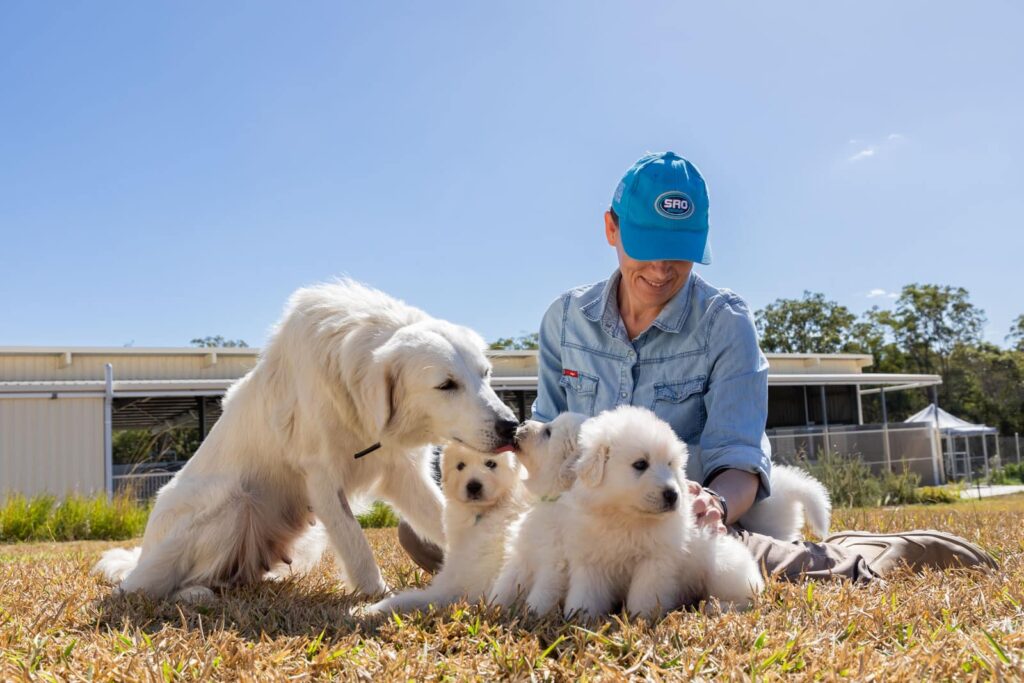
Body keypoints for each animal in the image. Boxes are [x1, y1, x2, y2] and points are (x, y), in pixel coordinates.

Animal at [92, 280, 516, 602]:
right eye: (446, 385)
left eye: (485, 374)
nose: (511, 426)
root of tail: (141, 558)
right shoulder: (322, 477)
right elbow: (355, 542)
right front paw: (377, 596)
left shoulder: (403, 473)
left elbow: (444, 519)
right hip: (233, 501)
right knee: (138, 589)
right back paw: (193, 594)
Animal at [485, 411, 589, 614]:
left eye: (548, 433)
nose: (522, 423)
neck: (554, 499)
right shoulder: (521, 556)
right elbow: (505, 585)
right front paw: (492, 609)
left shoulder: (554, 566)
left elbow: (540, 598)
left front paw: (530, 615)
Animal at [557, 409, 765, 622]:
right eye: (640, 464)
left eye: (670, 464)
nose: (673, 495)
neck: (626, 518)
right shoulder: (591, 560)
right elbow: (586, 593)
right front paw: (580, 618)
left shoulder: (654, 561)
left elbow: (644, 596)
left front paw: (641, 620)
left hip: (722, 569)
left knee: (746, 599)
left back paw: (714, 607)